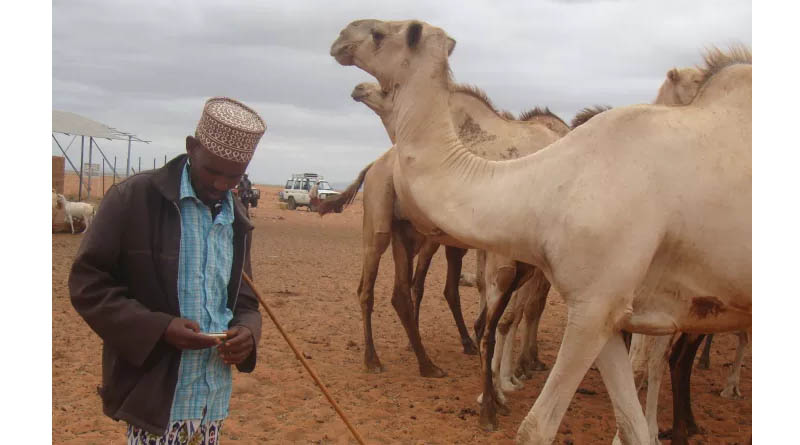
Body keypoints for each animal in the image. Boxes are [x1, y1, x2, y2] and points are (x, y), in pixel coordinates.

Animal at [323, 80, 561, 394]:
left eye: (388, 89)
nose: (359, 88)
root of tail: (373, 165)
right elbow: (513, 309)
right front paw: (508, 377)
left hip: (407, 231)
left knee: (402, 292)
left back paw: (428, 362)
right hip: (379, 222)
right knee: (369, 288)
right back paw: (374, 360)